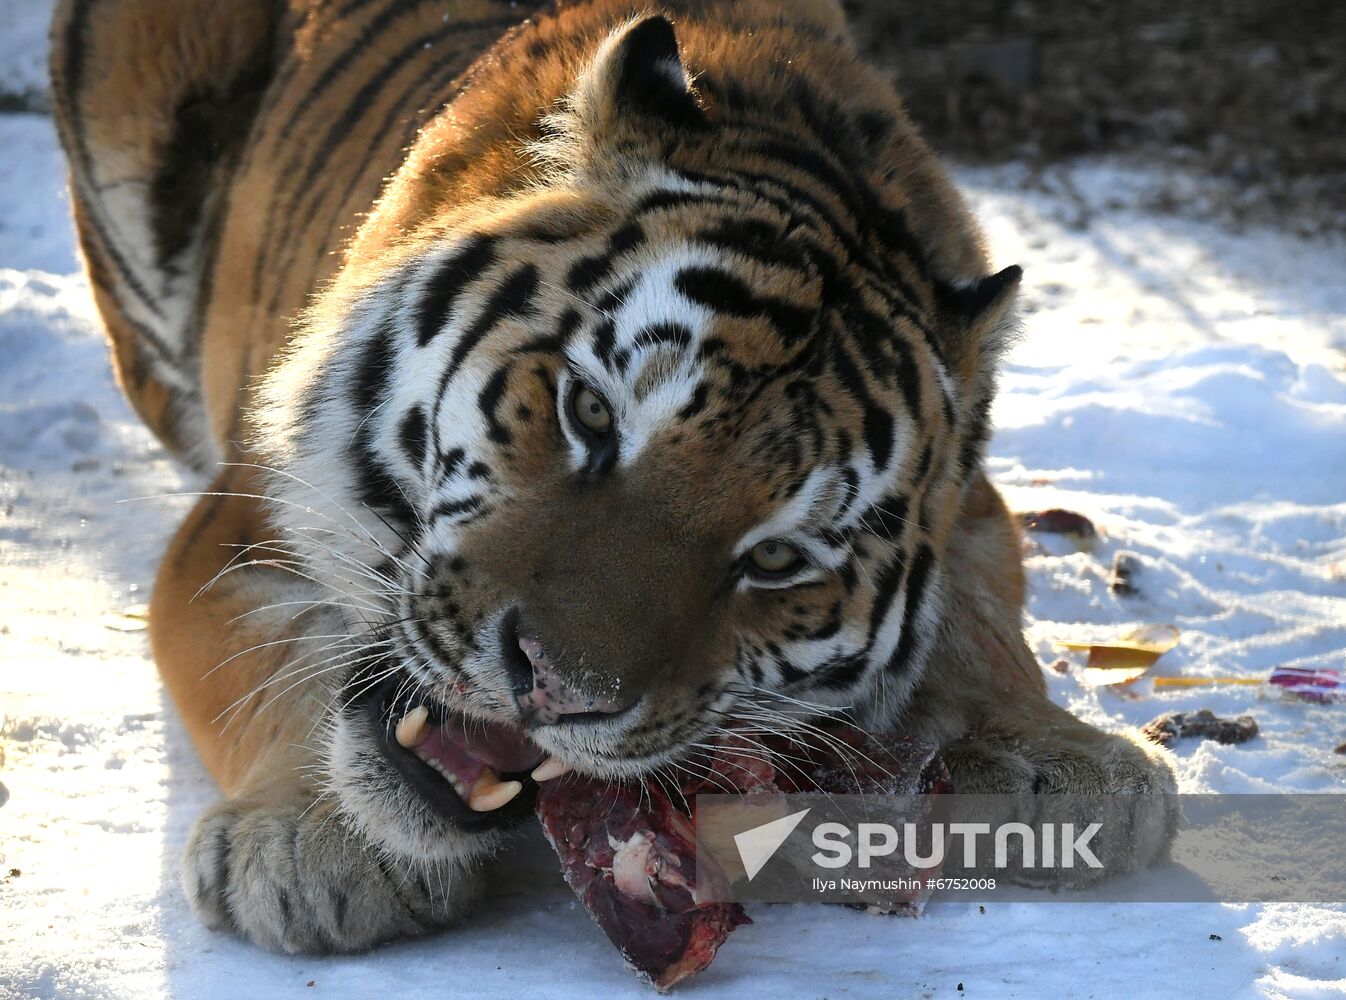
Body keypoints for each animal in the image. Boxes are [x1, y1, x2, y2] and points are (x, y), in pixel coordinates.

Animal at [47, 0, 1173, 958]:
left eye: (775, 559)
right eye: (589, 412)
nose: (551, 685)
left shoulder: (972, 501)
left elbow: (980, 616)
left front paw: (1064, 762)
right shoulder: (236, 519)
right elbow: (271, 659)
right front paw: (314, 841)